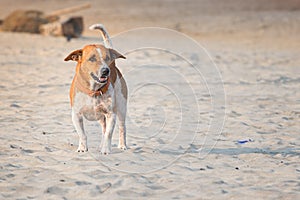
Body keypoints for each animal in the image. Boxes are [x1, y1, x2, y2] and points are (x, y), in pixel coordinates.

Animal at [63, 23, 127, 155]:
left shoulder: (111, 114)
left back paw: (122, 145)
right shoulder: (76, 115)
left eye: (107, 58)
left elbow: (108, 134)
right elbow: (82, 134)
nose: (106, 70)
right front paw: (82, 148)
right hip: (100, 117)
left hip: (122, 108)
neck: (93, 90)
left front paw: (106, 150)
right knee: (103, 128)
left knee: (122, 128)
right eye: (92, 59)